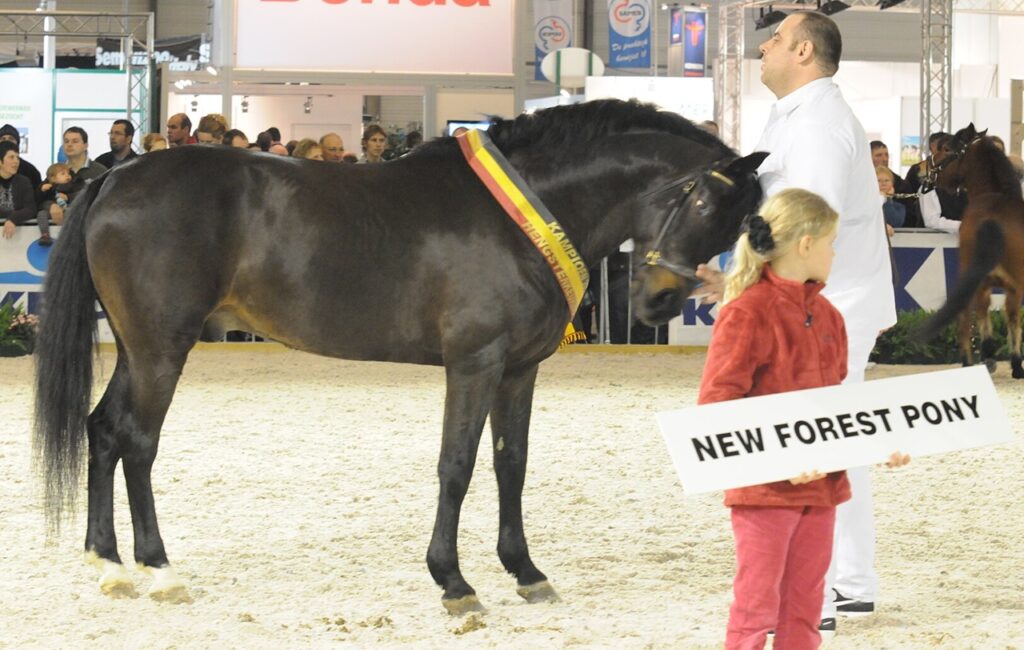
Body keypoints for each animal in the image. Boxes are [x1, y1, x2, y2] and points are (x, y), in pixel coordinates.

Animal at [34, 99, 767, 613]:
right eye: (703, 200)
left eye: (738, 223)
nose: (663, 303)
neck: (523, 214)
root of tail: (117, 175)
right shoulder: (475, 363)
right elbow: (457, 466)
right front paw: (454, 581)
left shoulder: (520, 369)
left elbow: (511, 465)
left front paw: (525, 572)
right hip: (161, 349)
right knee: (138, 442)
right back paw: (158, 570)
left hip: (135, 348)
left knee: (103, 431)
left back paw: (109, 564)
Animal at [921, 123, 1024, 378]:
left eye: (946, 148)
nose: (926, 172)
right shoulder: (1010, 287)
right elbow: (1012, 317)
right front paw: (1014, 362)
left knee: (966, 314)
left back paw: (971, 360)